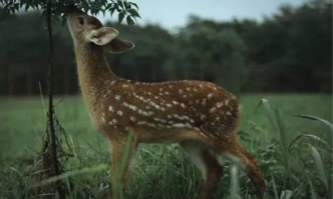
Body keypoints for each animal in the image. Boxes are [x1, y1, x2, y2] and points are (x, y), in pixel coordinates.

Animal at [66, 6, 266, 199]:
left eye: (81, 19)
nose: (70, 7)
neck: (101, 91)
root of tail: (236, 102)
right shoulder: (130, 138)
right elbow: (120, 179)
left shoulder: (120, 132)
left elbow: (117, 181)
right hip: (191, 140)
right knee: (214, 170)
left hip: (220, 130)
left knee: (251, 161)